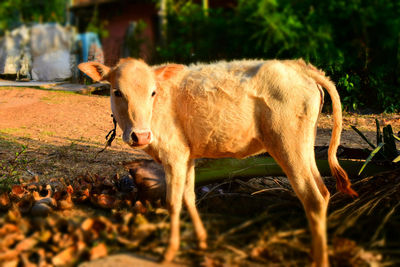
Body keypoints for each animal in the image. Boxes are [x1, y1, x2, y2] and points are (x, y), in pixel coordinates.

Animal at [78, 57, 356, 266]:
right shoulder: (187, 155)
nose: (141, 135)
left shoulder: (174, 155)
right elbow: (189, 197)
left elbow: (173, 202)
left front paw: (169, 252)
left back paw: (319, 260)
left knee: (313, 198)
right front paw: (201, 240)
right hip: (305, 147)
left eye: (152, 92)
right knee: (323, 192)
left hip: (288, 145)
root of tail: (299, 66)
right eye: (117, 92)